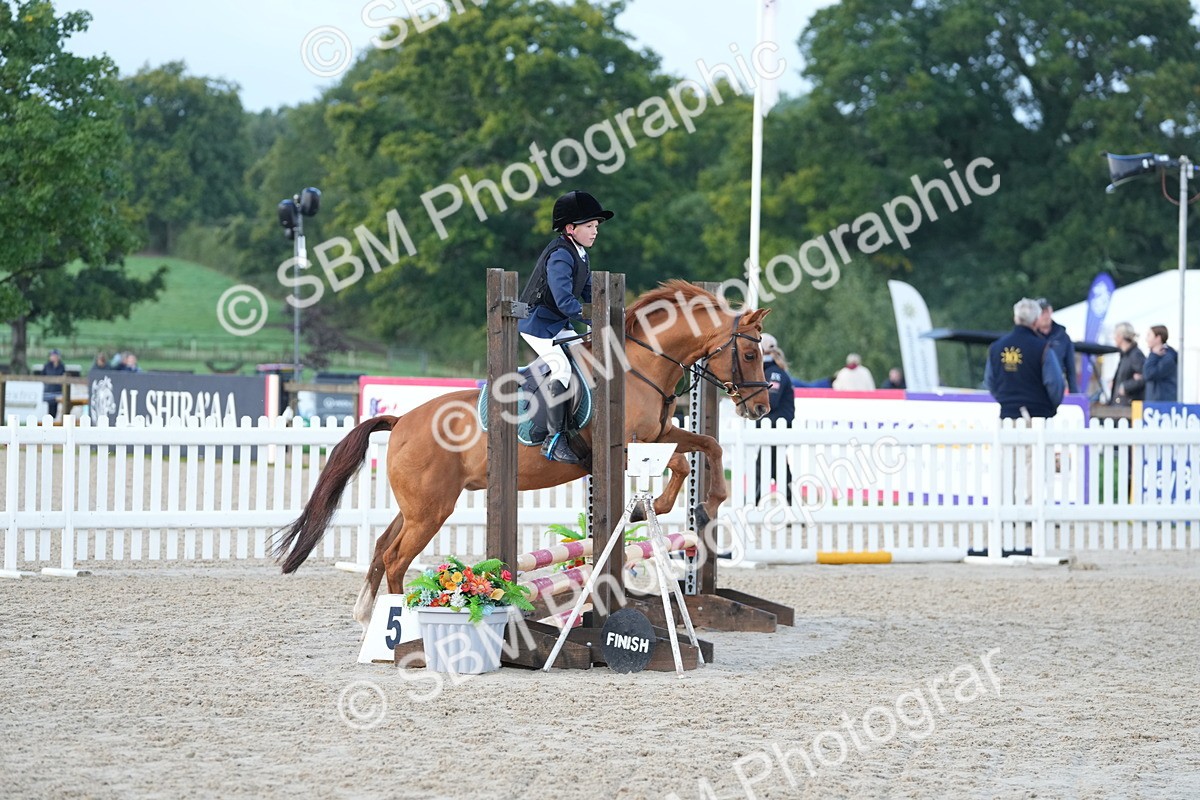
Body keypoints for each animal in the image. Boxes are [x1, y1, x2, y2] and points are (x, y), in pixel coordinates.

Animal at [275, 280, 771, 629]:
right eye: (750, 354)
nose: (762, 408)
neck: (640, 366)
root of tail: (401, 422)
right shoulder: (629, 444)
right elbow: (681, 461)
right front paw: (671, 507)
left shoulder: (664, 432)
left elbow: (705, 448)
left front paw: (707, 506)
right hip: (431, 510)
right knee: (397, 559)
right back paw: (400, 625)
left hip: (418, 506)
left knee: (382, 547)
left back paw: (368, 616)